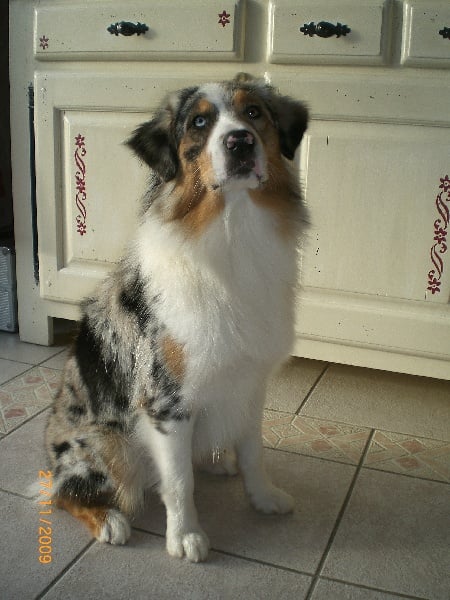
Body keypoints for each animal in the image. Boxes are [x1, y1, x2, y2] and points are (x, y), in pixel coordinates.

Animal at [45, 73, 308, 563]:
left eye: (254, 113)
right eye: (199, 122)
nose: (240, 142)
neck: (232, 232)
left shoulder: (252, 382)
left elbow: (253, 450)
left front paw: (263, 497)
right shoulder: (167, 401)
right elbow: (180, 481)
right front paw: (185, 537)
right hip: (105, 445)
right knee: (64, 491)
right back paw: (109, 520)